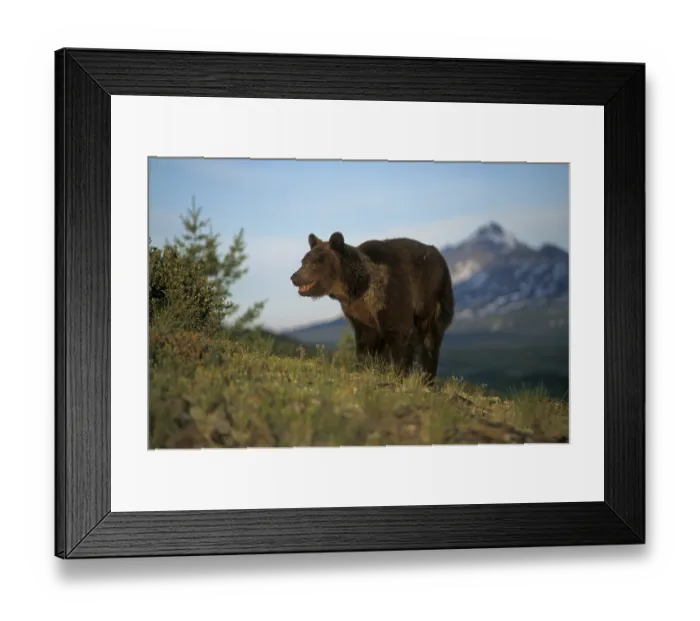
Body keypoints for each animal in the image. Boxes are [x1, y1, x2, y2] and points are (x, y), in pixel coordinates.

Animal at [290, 231, 454, 382]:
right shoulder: (358, 313)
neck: (358, 287)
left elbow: (401, 334)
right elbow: (365, 341)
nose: (294, 277)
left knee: (431, 341)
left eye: (315, 262)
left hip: (436, 298)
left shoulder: (391, 296)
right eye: (303, 261)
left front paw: (399, 374)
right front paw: (365, 368)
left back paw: (427, 379)